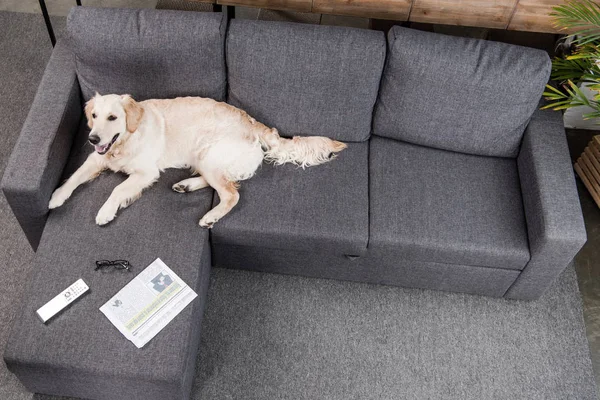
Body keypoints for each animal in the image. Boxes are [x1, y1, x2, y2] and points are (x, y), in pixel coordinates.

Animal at [48, 92, 346, 227]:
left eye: (113, 117)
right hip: (204, 159)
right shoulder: (96, 159)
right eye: (94, 116)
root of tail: (254, 123)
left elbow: (118, 188)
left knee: (231, 193)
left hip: (210, 155)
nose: (93, 138)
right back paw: (186, 185)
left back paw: (210, 216)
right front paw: (56, 197)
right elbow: (74, 176)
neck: (124, 141)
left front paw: (105, 212)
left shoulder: (146, 172)